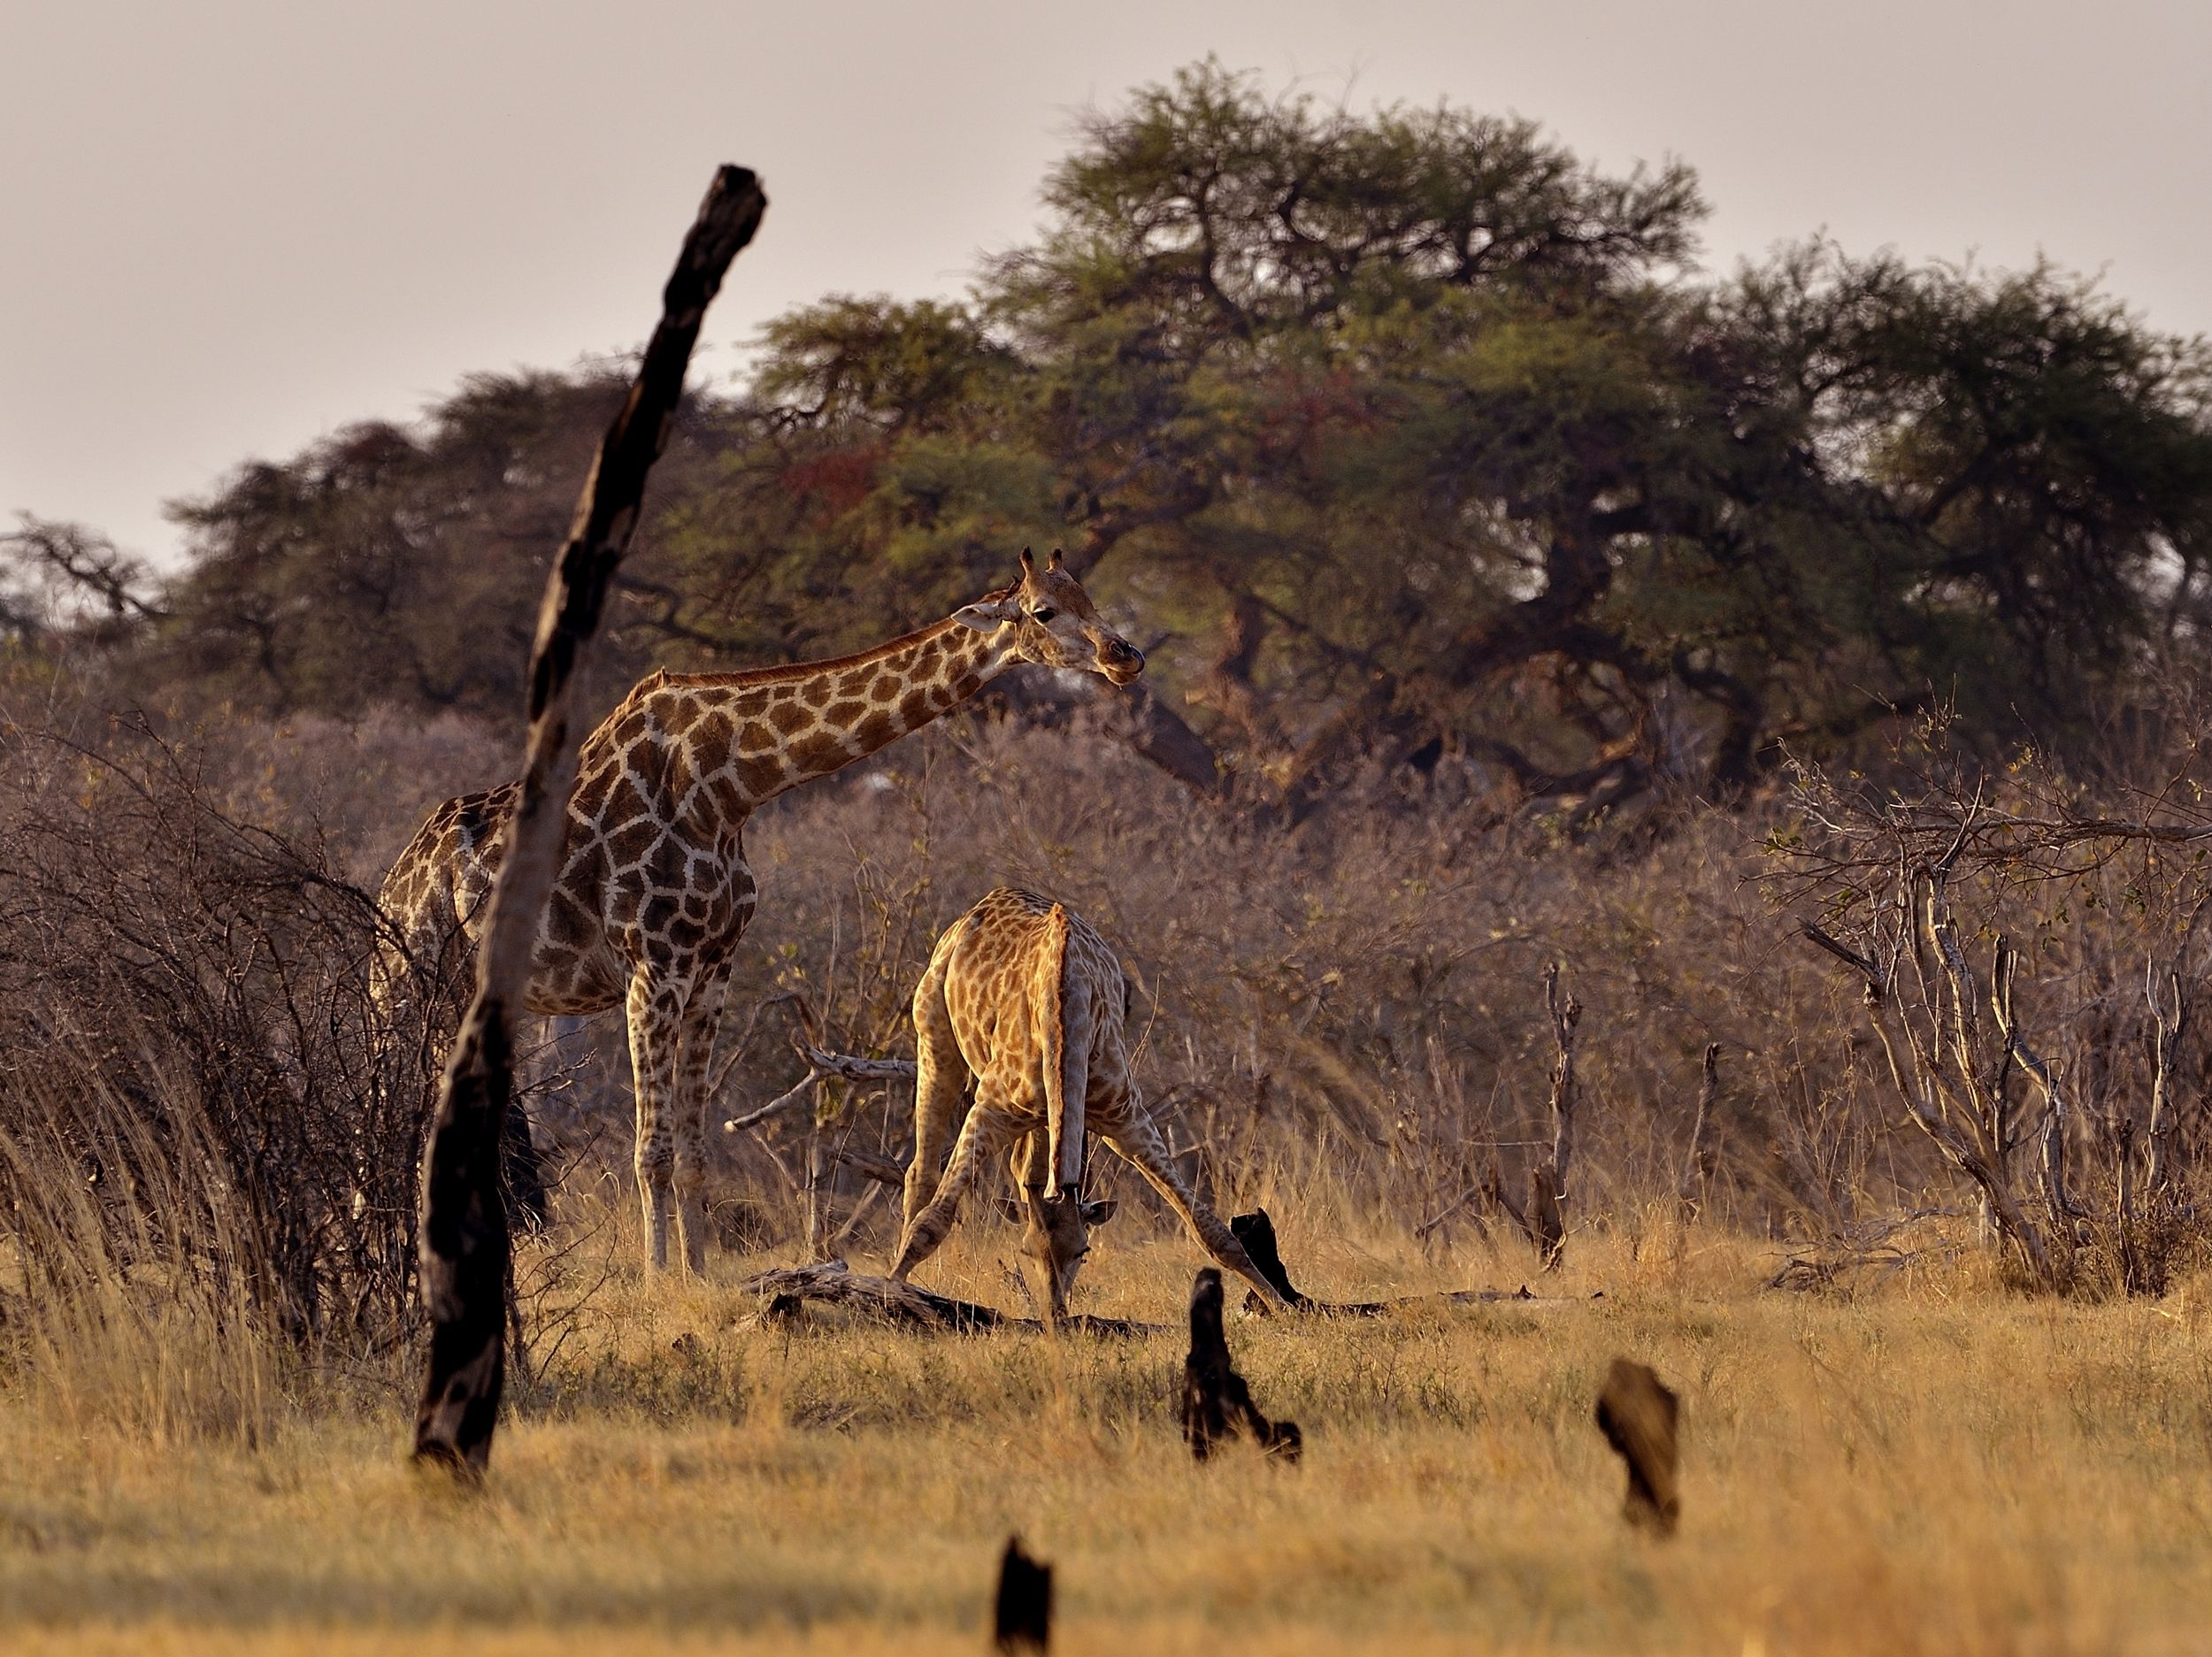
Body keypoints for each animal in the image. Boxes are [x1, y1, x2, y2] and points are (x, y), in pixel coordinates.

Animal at [377, 550, 1145, 1273]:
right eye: (1044, 611)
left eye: (1088, 596)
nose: (1125, 655)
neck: (730, 781)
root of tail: (396, 879)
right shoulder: (652, 966)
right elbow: (651, 1151)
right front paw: (657, 1280)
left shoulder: (711, 971)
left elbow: (692, 1152)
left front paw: (696, 1273)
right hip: (404, 983)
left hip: (457, 996)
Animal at [891, 887, 1293, 1319]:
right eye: (1026, 1252)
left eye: (1083, 1252)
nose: (1055, 1312)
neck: (1065, 1016)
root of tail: (988, 901)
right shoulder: (989, 1110)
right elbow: (933, 1220)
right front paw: (888, 1289)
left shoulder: (1128, 1119)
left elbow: (1209, 1228)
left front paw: (1282, 1306)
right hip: (933, 1036)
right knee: (920, 1172)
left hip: (1040, 1113)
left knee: (1023, 1166)